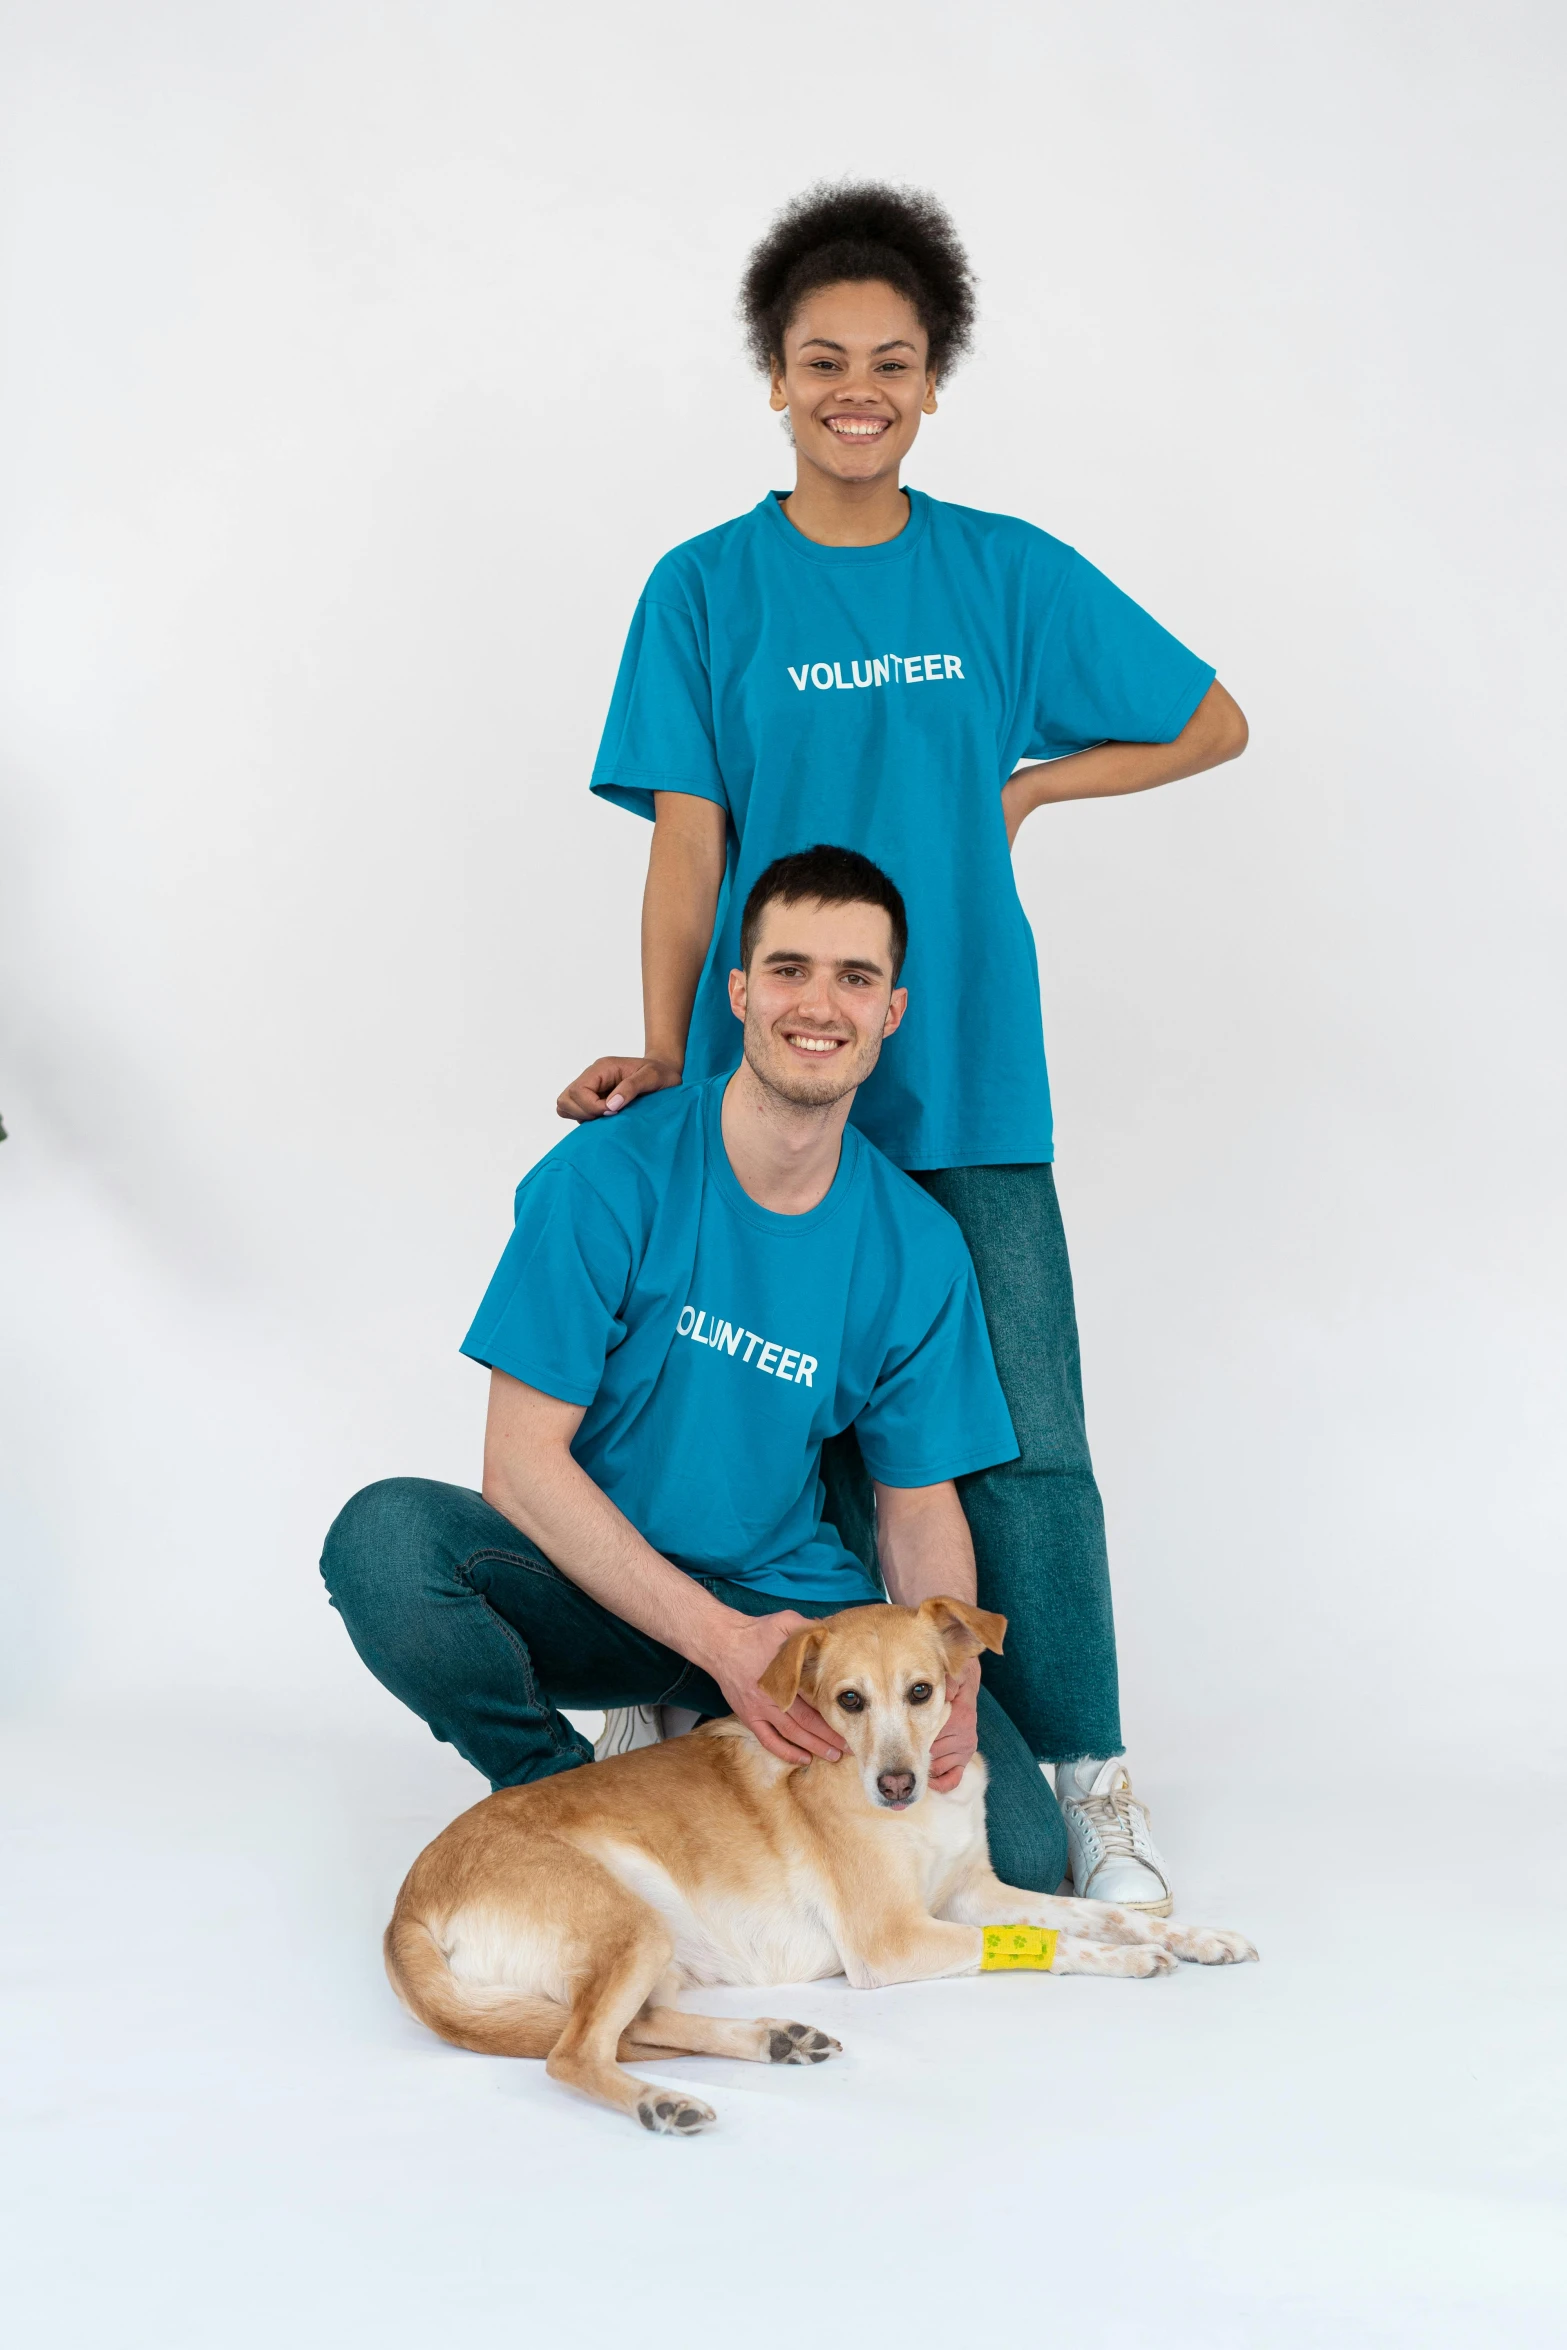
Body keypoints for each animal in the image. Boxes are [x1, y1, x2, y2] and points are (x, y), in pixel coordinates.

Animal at [385, 1597, 1259, 2133]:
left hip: (652, 1942)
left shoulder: (973, 1894)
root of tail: (405, 1910)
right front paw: (1132, 1961)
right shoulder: (892, 1941)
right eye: (848, 1701)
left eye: (921, 1692)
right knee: (573, 2051)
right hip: (630, 1922)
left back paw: (774, 2038)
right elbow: (1058, 1942)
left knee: (637, 2024)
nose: (897, 1785)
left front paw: (1200, 1937)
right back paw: (662, 2103)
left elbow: (1096, 1912)